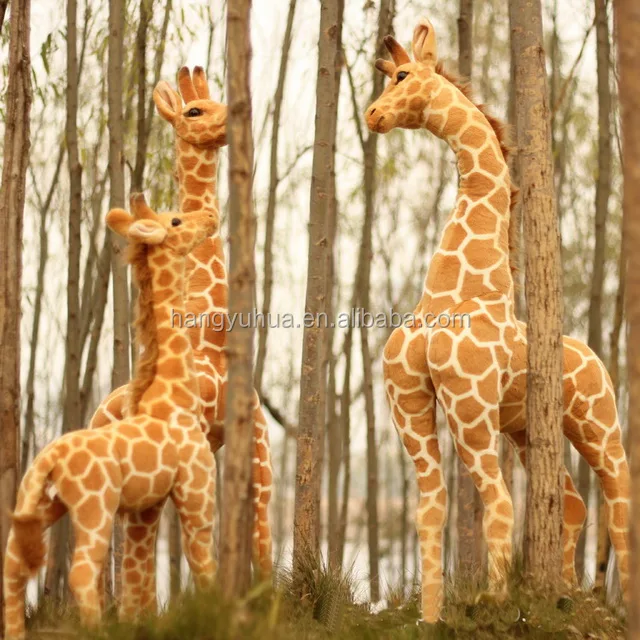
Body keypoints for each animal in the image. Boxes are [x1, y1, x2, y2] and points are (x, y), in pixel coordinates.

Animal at [3, 195, 217, 639]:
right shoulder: (197, 489)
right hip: (94, 506)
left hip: (46, 503)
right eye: (175, 220)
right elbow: (203, 562)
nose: (209, 216)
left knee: (14, 562)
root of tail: (48, 460)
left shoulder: (145, 505)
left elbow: (139, 575)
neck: (174, 395)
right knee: (82, 572)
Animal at [87, 67, 273, 607]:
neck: (210, 330)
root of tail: (94, 414)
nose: (237, 119)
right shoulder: (241, 429)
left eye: (215, 98)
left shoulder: (233, 435)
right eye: (194, 110)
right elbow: (247, 531)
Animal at [365, 18, 630, 623]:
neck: (453, 291)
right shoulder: (407, 399)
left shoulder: (468, 400)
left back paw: (620, 606)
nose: (373, 115)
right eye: (387, 76)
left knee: (619, 492)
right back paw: (566, 593)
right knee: (573, 502)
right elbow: (430, 511)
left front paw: (494, 600)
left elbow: (497, 504)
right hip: (529, 431)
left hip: (597, 422)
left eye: (403, 75)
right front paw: (430, 618)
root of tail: (597, 360)